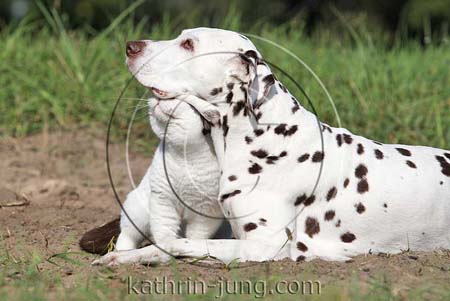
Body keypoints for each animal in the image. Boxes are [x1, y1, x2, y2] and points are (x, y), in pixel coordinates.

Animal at [116, 97, 225, 250]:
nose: (159, 97)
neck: (184, 158)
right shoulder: (163, 200)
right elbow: (164, 231)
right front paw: (167, 248)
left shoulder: (206, 211)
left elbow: (196, 236)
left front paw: (190, 247)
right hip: (137, 211)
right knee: (127, 235)